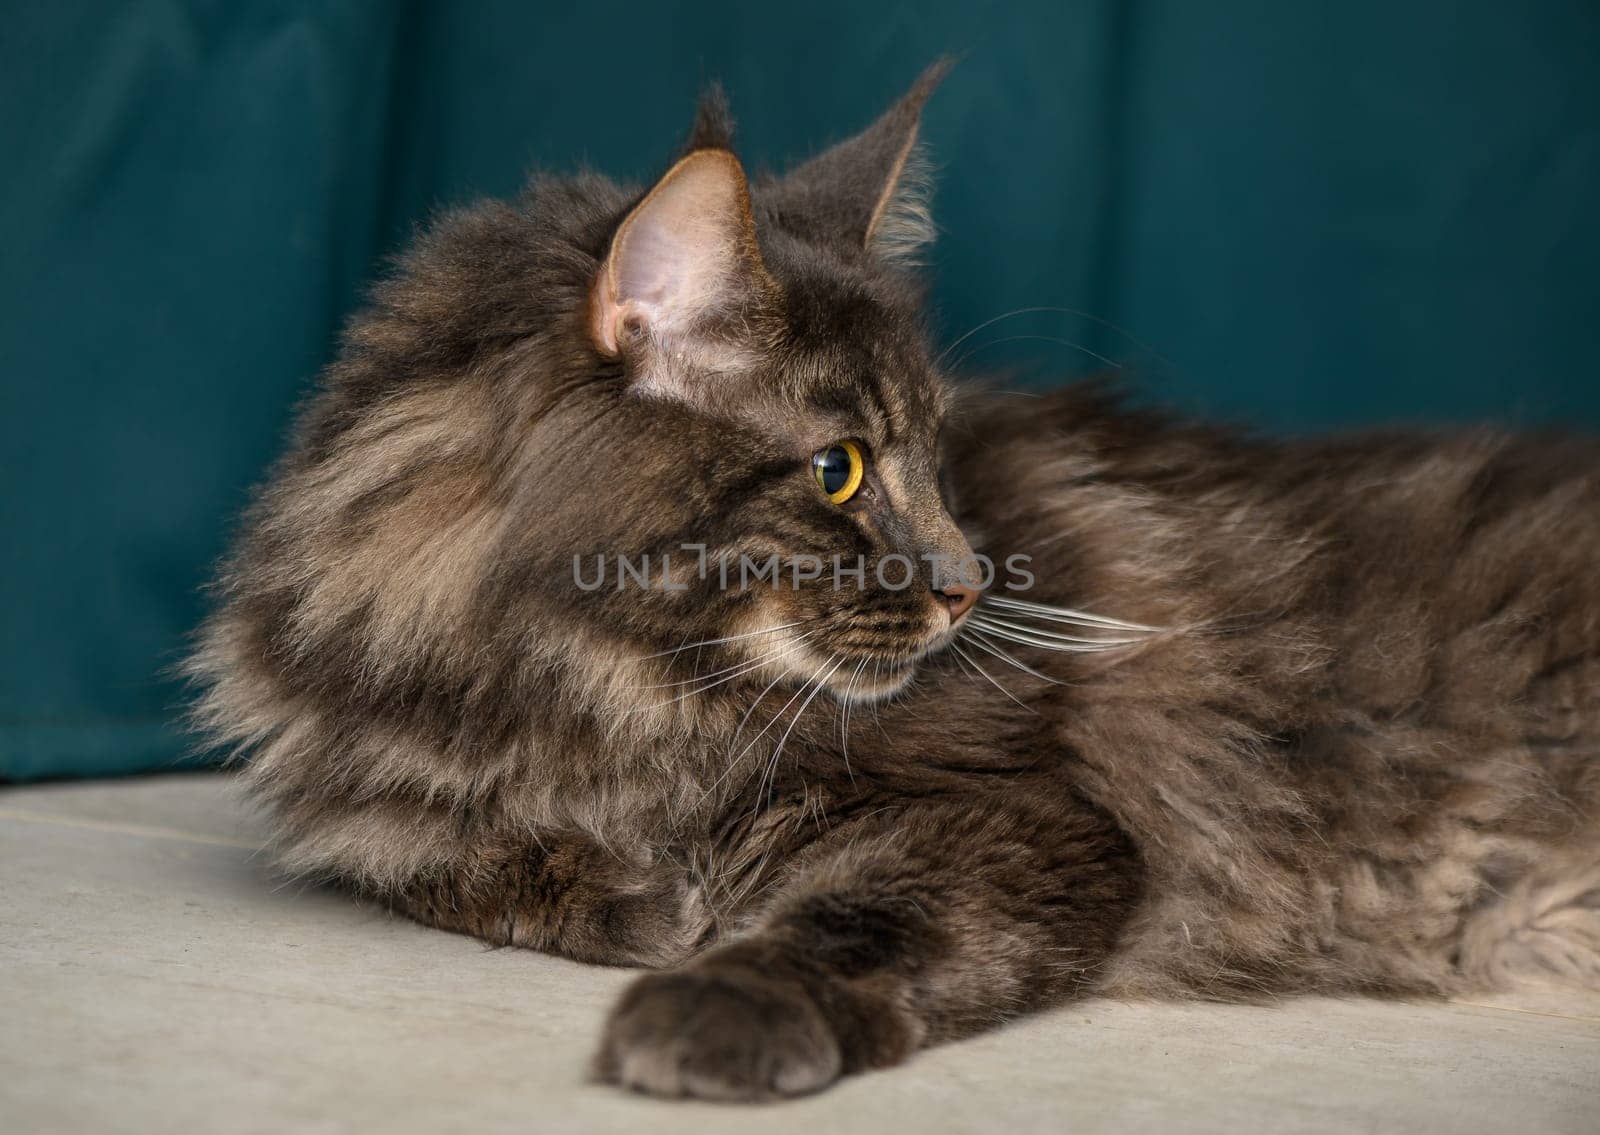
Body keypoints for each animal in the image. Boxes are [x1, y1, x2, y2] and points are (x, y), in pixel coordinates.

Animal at [190, 64, 1600, 1094]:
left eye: (935, 457)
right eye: (839, 470)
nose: (971, 583)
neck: (602, 689)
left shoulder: (1024, 815)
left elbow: (851, 921)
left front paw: (711, 997)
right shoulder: (380, 810)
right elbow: (444, 865)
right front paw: (632, 897)